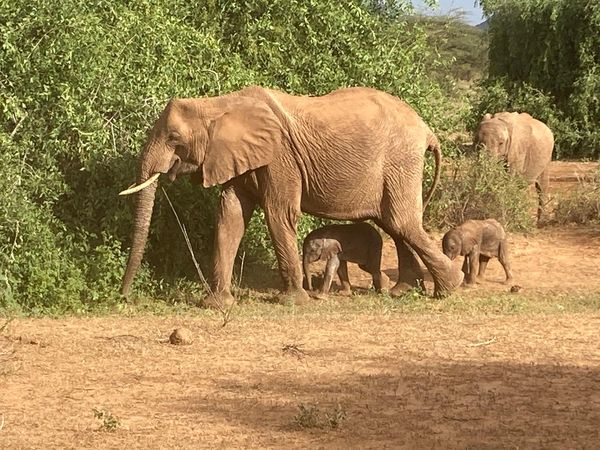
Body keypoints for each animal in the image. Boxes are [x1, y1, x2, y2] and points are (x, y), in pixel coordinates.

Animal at [119, 85, 462, 306]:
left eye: (174, 138)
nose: (124, 298)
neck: (218, 104)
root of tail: (427, 130)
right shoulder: (239, 156)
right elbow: (231, 214)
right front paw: (217, 304)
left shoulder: (280, 157)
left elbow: (278, 212)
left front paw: (292, 301)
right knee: (394, 224)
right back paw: (404, 291)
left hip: (400, 159)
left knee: (401, 221)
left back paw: (448, 289)